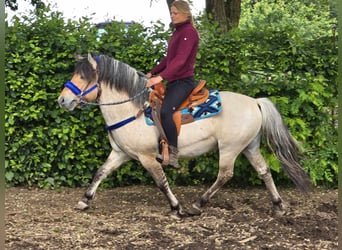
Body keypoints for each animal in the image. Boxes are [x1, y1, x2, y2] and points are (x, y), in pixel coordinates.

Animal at [57, 53, 312, 218]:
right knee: (264, 171)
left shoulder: (147, 157)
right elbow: (100, 172)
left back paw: (197, 205)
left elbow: (161, 182)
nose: (63, 100)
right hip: (249, 146)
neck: (132, 109)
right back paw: (278, 205)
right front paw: (85, 200)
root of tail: (255, 102)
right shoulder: (120, 153)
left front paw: (175, 208)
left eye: (83, 76)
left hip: (230, 148)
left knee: (225, 174)